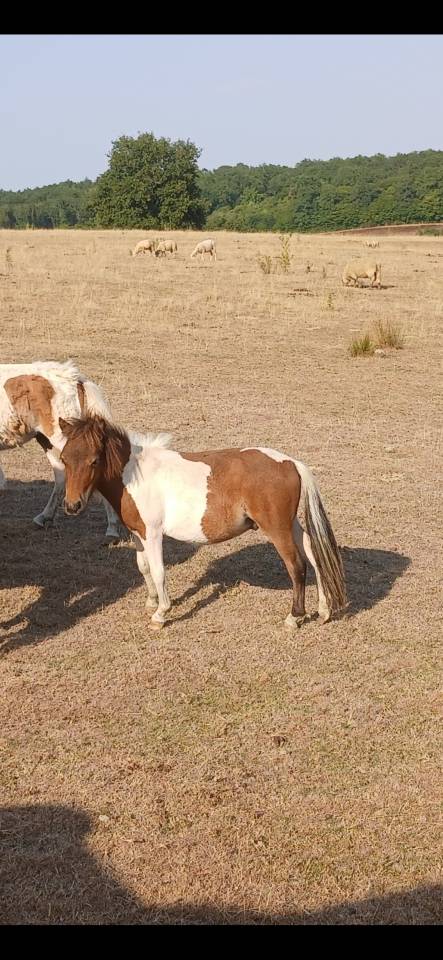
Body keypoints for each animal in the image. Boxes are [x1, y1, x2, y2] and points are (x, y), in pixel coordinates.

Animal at [58, 415, 347, 631]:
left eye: (94, 460)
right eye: (63, 458)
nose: (72, 506)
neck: (133, 474)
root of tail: (291, 463)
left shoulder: (153, 534)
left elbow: (159, 571)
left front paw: (161, 614)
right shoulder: (138, 534)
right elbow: (144, 568)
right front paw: (151, 601)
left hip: (277, 529)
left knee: (297, 566)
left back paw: (294, 617)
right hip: (290, 525)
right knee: (313, 553)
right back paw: (323, 611)